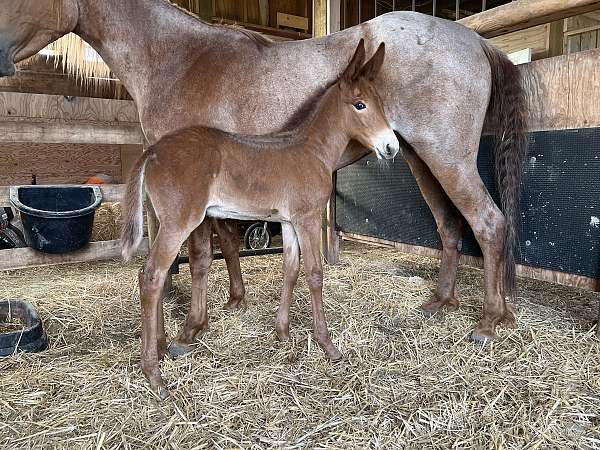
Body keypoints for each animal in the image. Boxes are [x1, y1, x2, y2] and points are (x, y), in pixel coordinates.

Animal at [0, 0, 524, 344]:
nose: (1, 55)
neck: (179, 58)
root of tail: (474, 39)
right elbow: (229, 244)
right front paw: (236, 301)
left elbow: (201, 254)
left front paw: (192, 328)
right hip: (419, 158)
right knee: (450, 226)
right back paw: (442, 303)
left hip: (446, 158)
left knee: (489, 223)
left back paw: (489, 320)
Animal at [122, 39, 400, 398]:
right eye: (360, 104)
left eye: (381, 102)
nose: (391, 147)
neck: (311, 150)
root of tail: (154, 150)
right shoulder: (308, 219)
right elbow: (315, 273)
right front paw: (328, 346)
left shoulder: (289, 222)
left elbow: (291, 269)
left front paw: (282, 332)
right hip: (178, 223)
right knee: (152, 276)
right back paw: (154, 374)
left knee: (149, 276)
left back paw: (161, 347)